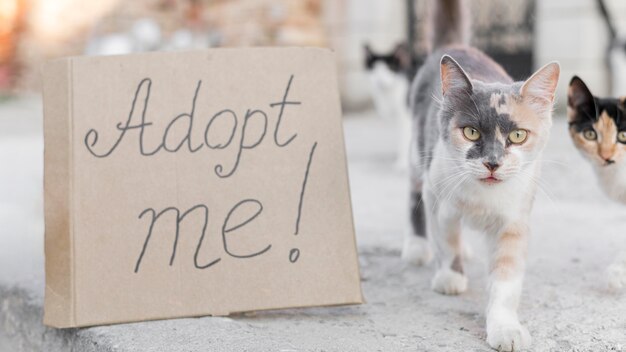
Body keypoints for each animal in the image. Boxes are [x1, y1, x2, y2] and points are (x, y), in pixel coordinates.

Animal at [402, 0, 560, 350]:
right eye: (471, 132)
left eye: (518, 136)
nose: (492, 162)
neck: (483, 197)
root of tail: (454, 47)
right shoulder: (439, 197)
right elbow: (445, 239)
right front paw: (450, 276)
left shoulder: (514, 221)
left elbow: (506, 281)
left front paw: (505, 328)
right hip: (418, 153)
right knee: (415, 199)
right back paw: (418, 246)